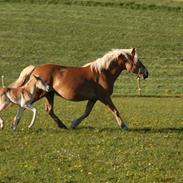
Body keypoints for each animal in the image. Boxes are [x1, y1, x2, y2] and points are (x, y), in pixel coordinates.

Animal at [10, 48, 148, 129]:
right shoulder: (104, 97)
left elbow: (86, 113)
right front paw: (124, 126)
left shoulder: (94, 98)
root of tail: (35, 69)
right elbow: (115, 110)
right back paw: (14, 124)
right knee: (25, 105)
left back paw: (62, 126)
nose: (146, 73)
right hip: (40, 93)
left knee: (49, 109)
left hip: (49, 94)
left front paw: (74, 124)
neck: (103, 72)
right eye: (137, 61)